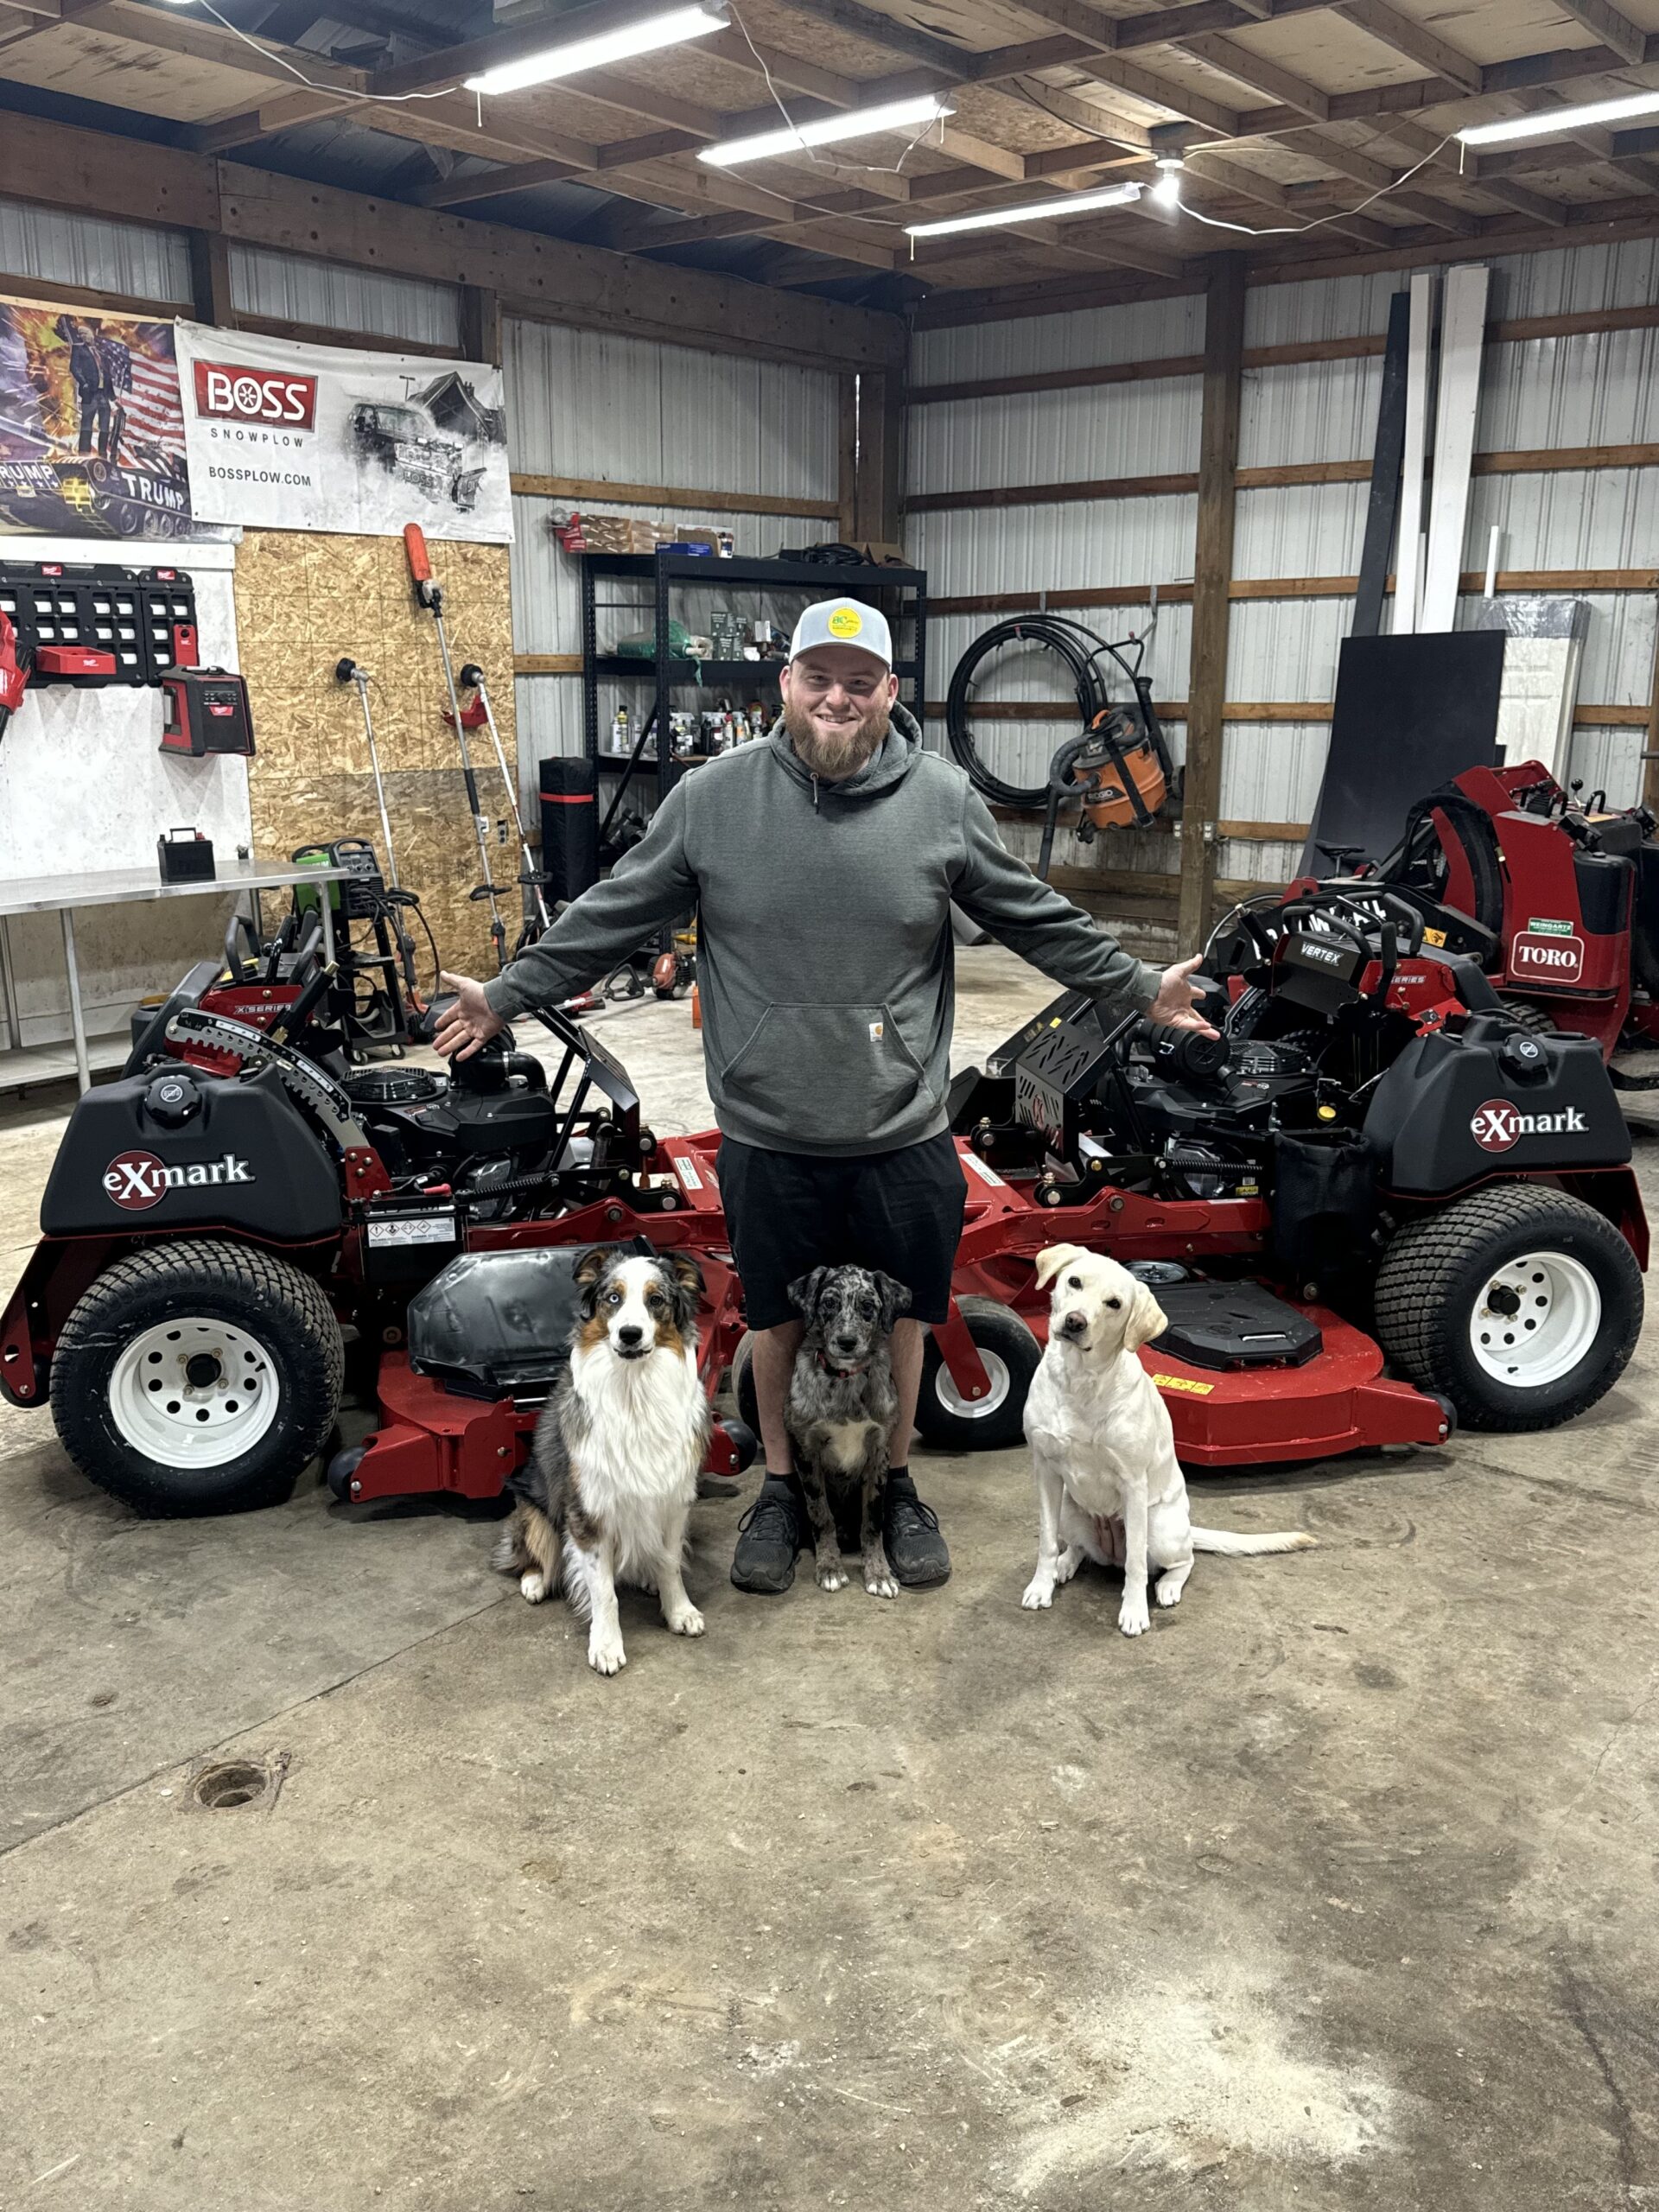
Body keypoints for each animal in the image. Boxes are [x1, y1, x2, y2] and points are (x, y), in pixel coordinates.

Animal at [494, 1244, 710, 1675]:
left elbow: (670, 1563)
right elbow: (604, 1592)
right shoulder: (588, 1513)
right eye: (613, 1298)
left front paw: (679, 1611)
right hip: (533, 1508)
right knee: (535, 1553)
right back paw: (535, 1580)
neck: (635, 1387)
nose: (629, 1334)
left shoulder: (674, 1501)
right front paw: (607, 1646)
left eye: (655, 1300)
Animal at [785, 1264, 912, 1598]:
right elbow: (821, 1515)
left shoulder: (880, 1452)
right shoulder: (806, 1450)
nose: (846, 1342)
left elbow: (873, 1520)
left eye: (867, 1306)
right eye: (829, 1303)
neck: (844, 1379)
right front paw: (830, 1568)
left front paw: (878, 1572)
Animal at [1021, 1244, 1314, 1637]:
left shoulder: (1132, 1483)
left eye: (1114, 1303)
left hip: (1158, 1527)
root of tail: (1188, 1527)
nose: (1075, 1322)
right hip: (1071, 1508)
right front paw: (1042, 1585)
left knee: (1179, 1560)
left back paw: (1168, 1586)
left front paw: (1134, 1611)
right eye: (1074, 1281)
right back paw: (1065, 1565)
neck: (1079, 1380)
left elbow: (1135, 1566)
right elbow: (1047, 1541)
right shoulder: (1047, 1473)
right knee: (1080, 1548)